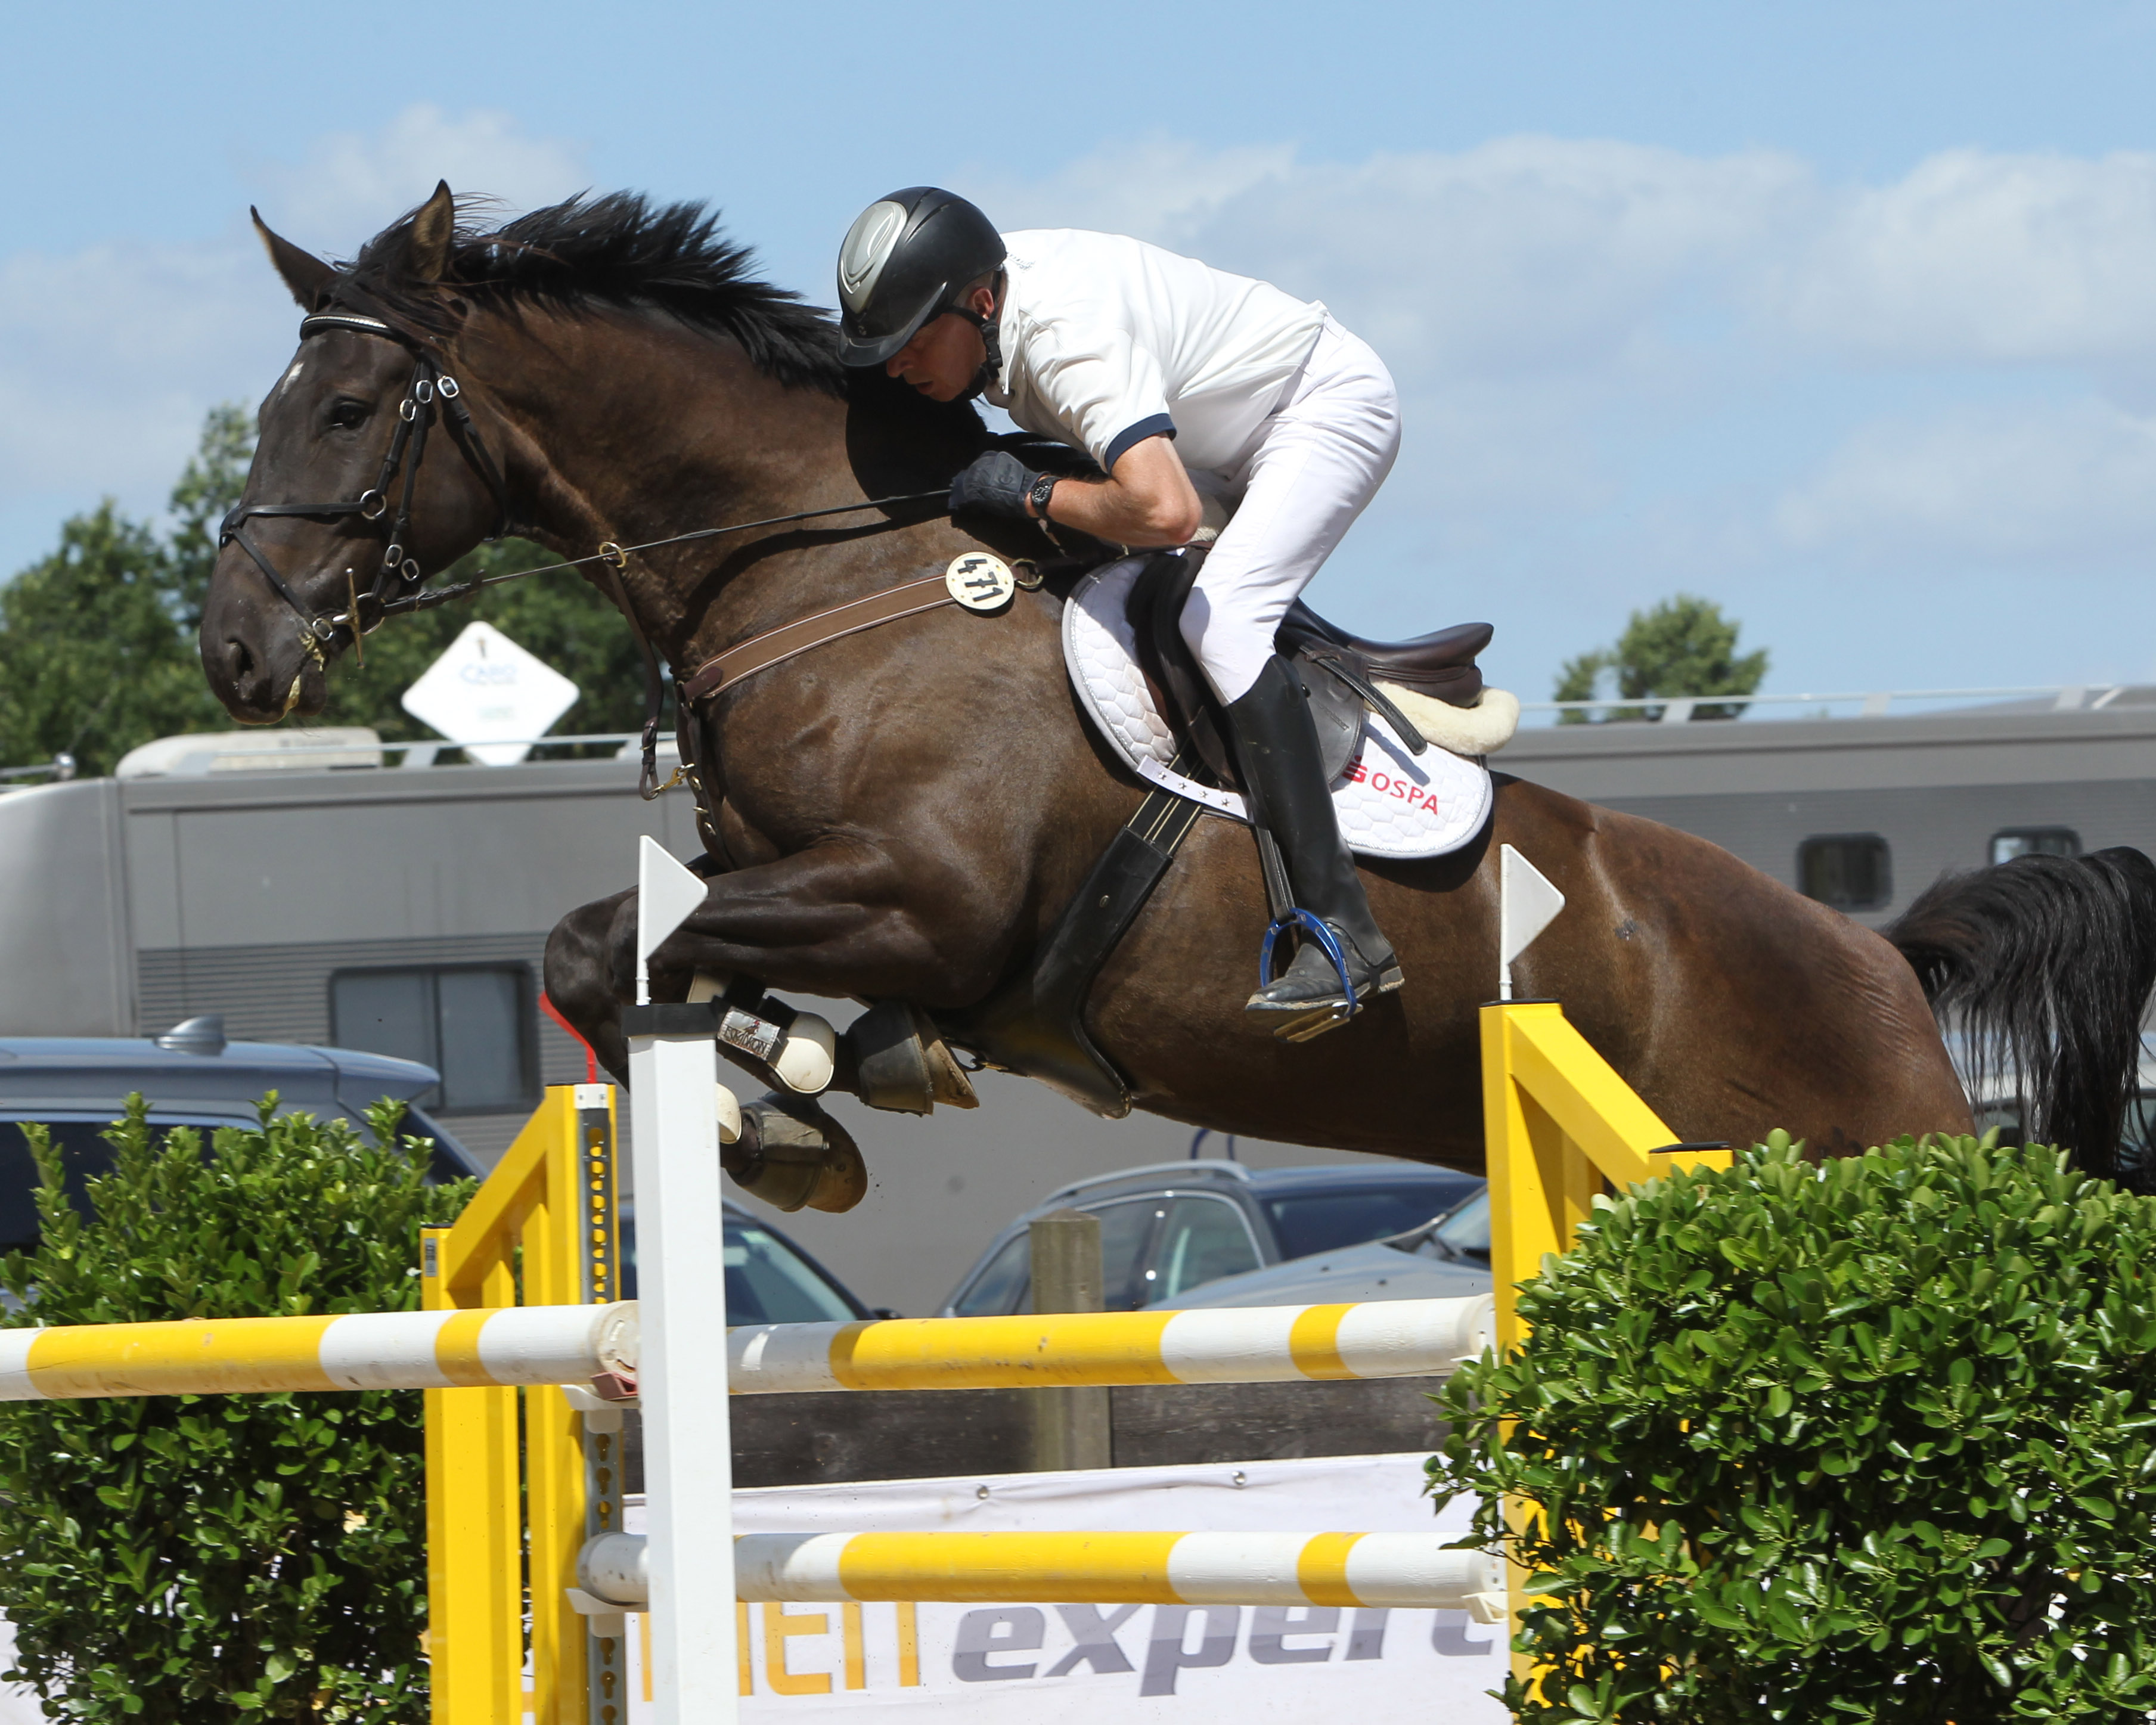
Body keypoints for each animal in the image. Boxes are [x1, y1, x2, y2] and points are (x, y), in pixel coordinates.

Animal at [198, 185, 2156, 1216]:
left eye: (352, 412)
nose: (236, 653)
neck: (817, 563)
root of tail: (1881, 961)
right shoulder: (798, 877)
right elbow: (621, 949)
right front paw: (802, 1080)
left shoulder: (923, 891)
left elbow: (630, 947)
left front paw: (785, 1094)